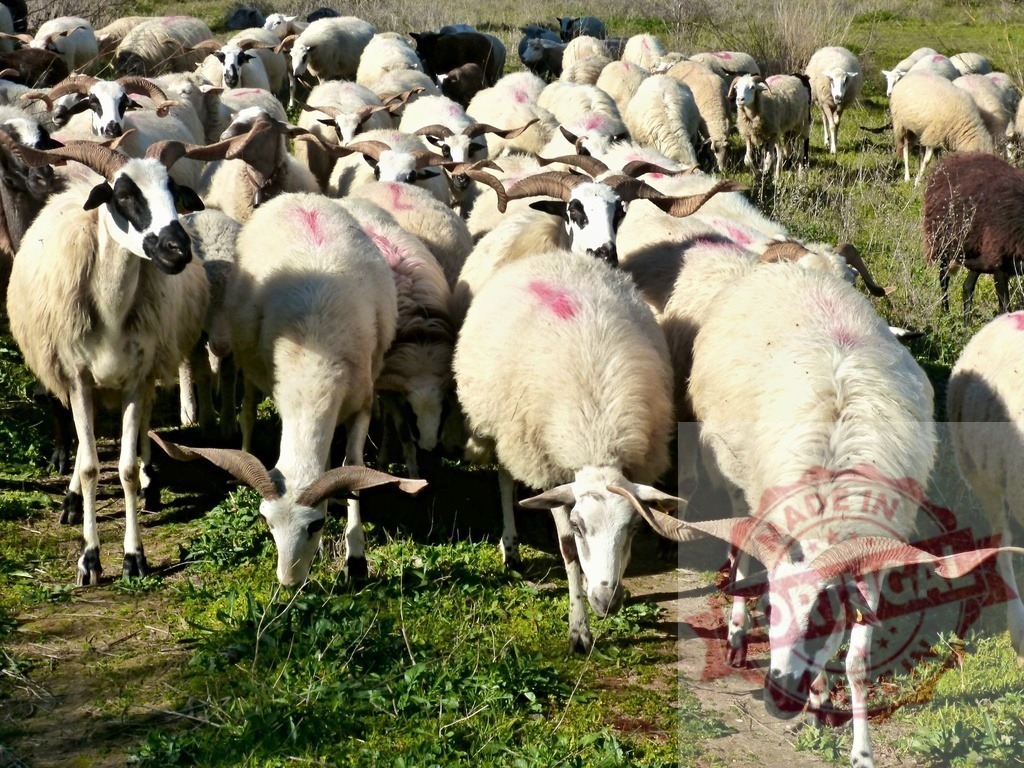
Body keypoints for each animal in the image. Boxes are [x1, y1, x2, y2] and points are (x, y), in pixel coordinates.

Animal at [6, 137, 218, 585]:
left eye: (174, 191)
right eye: (123, 196)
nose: (178, 250)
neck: (111, 307)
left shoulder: (137, 379)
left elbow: (124, 469)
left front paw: (134, 557)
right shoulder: (78, 379)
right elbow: (89, 467)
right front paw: (89, 558)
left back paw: (150, 483)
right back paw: (71, 500)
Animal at [154, 193, 426, 586]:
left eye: (315, 525)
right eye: (266, 520)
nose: (288, 582)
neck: (315, 366)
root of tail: (298, 197)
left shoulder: (362, 402)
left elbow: (353, 465)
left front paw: (356, 558)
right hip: (249, 361)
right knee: (248, 413)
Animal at [455, 249, 673, 652]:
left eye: (634, 528)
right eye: (580, 526)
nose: (607, 601)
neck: (597, 440)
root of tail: (554, 254)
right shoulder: (550, 471)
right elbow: (569, 552)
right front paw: (579, 629)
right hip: (510, 430)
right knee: (505, 477)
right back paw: (511, 549)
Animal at [923, 151, 1024, 315]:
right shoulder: (999, 264)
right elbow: (1005, 308)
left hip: (974, 249)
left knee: (967, 286)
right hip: (944, 242)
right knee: (944, 278)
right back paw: (945, 313)